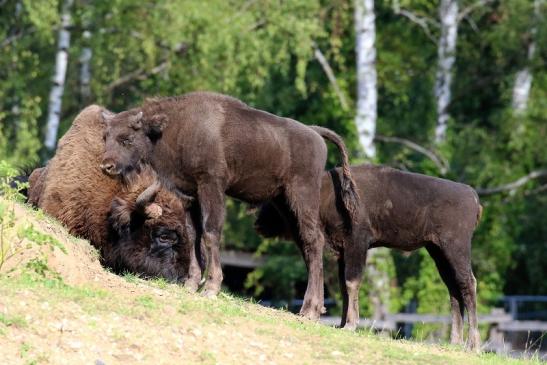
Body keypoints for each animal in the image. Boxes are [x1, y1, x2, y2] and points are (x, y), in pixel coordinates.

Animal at [101, 91, 360, 318]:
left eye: (127, 138)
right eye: (106, 137)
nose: (106, 166)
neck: (172, 128)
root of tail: (315, 133)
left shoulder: (211, 185)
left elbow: (210, 233)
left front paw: (211, 288)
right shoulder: (189, 195)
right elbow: (193, 235)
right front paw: (191, 284)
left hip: (302, 195)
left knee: (314, 240)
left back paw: (310, 311)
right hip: (284, 203)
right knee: (306, 245)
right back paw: (310, 308)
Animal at [255, 164, 482, 348]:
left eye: (277, 202)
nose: (259, 223)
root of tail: (471, 194)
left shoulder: (357, 244)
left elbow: (352, 282)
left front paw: (350, 325)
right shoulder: (344, 252)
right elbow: (344, 287)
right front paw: (342, 324)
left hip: (456, 248)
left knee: (468, 283)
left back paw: (472, 345)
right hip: (438, 252)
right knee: (454, 290)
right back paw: (455, 342)